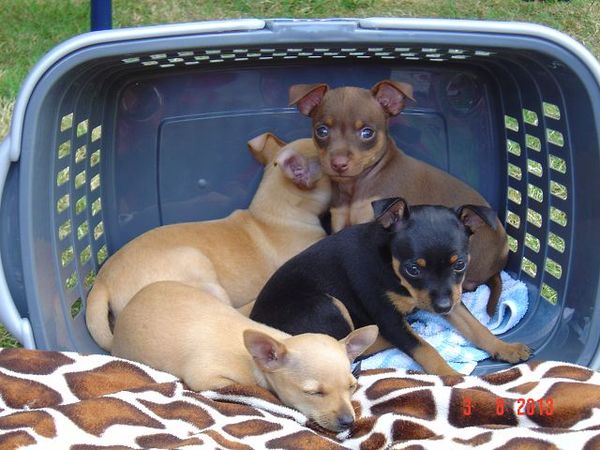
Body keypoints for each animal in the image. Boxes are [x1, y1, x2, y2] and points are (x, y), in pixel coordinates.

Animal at [251, 198, 532, 376]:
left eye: (460, 264)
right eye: (413, 269)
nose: (442, 308)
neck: (391, 266)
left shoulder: (453, 297)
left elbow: (477, 327)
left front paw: (505, 348)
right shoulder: (387, 315)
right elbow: (425, 348)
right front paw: (452, 376)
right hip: (328, 305)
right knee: (347, 347)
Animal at [290, 81, 506, 314]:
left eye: (367, 133)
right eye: (321, 131)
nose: (338, 164)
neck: (356, 186)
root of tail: (503, 257)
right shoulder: (339, 223)